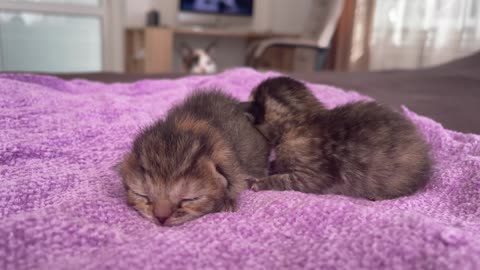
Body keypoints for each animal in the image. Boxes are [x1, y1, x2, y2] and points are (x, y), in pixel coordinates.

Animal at [242, 77, 434, 199]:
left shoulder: (314, 176)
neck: (298, 124)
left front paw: (260, 182)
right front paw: (271, 166)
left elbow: (285, 180)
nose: (242, 106)